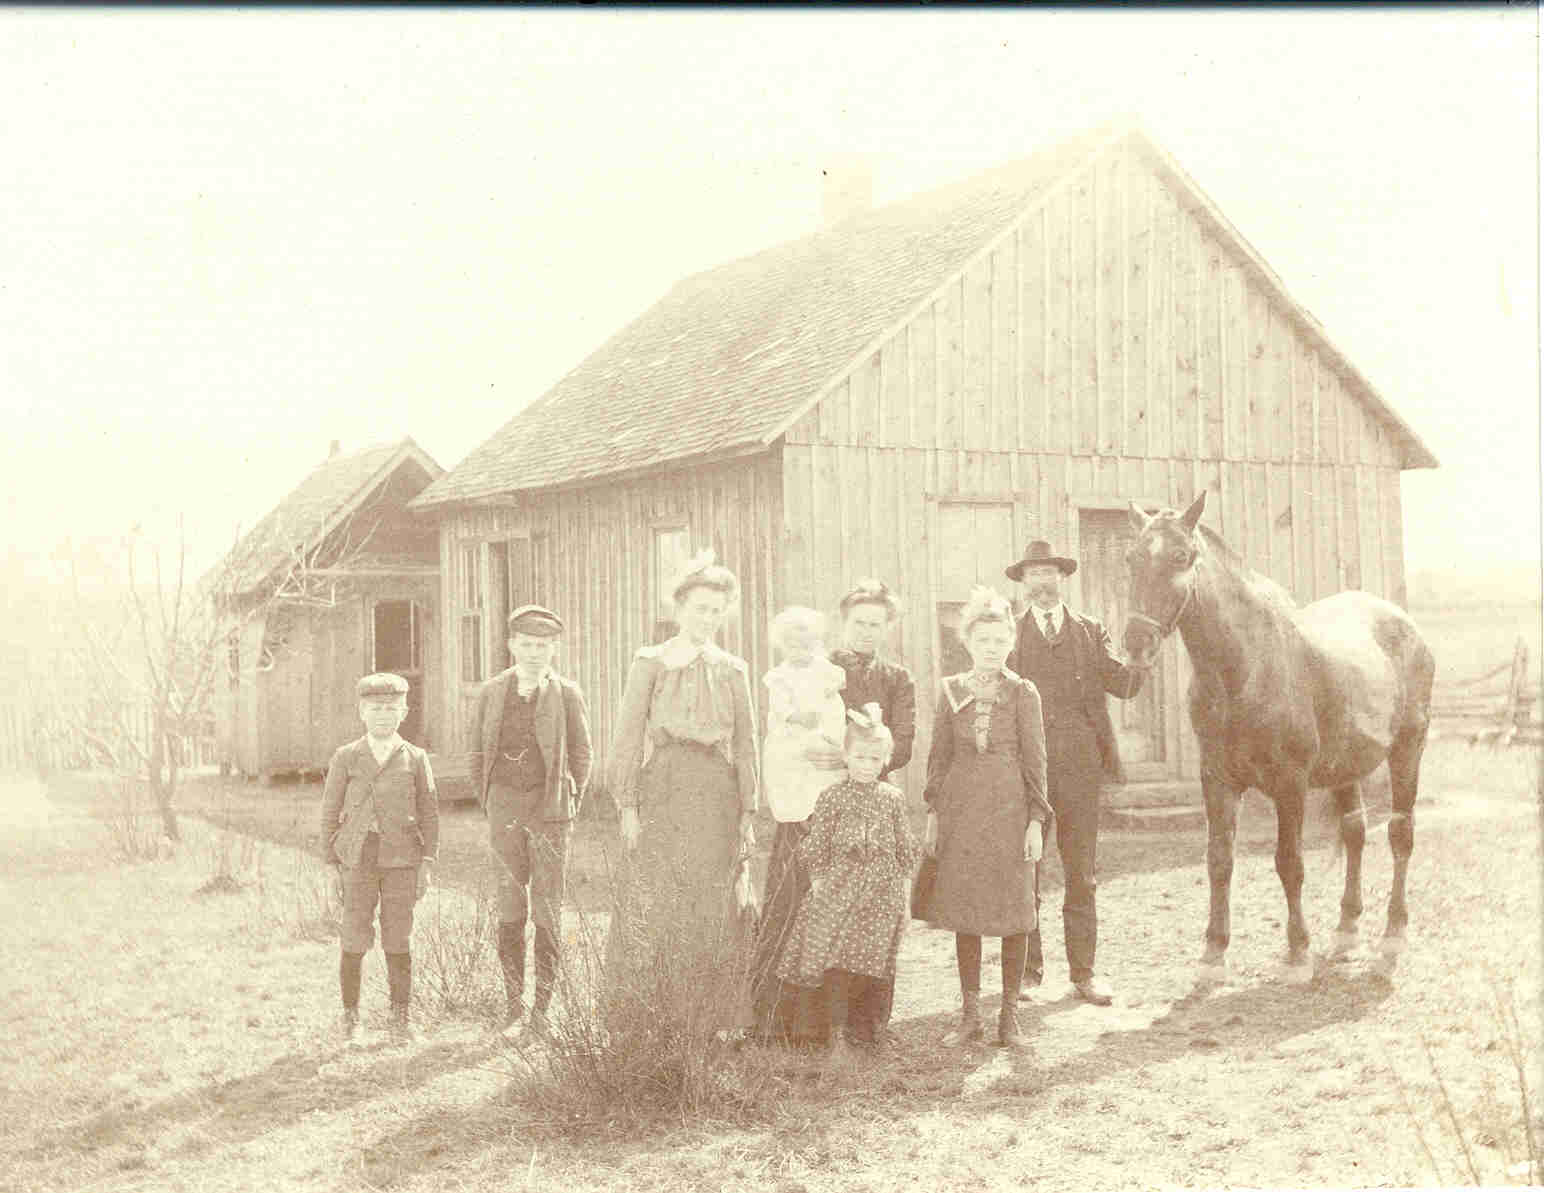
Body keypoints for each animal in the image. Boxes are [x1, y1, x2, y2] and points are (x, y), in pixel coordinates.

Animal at [1124, 487, 1432, 975]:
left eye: (1180, 556)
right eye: (1132, 557)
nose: (1136, 645)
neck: (1244, 670)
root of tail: (1405, 624)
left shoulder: (1290, 784)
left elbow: (1289, 862)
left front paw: (1298, 952)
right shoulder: (1217, 780)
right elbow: (1219, 859)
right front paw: (1214, 951)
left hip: (1408, 749)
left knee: (1400, 835)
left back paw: (1393, 935)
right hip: (1347, 768)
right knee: (1356, 832)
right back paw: (1346, 931)